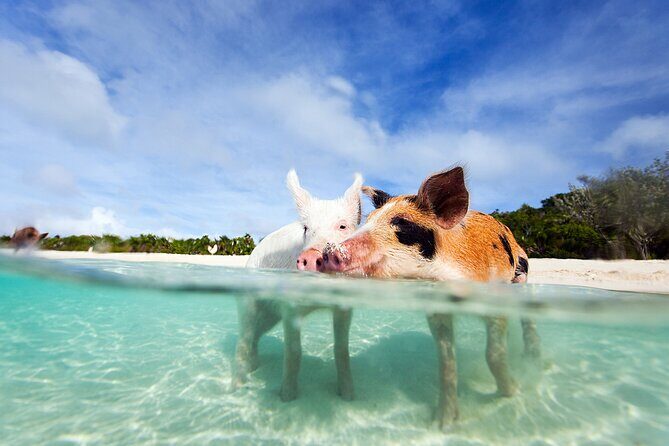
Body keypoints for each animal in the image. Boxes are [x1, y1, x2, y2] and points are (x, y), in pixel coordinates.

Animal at [234, 169, 363, 402]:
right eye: (306, 228)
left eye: (342, 226)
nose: (310, 256)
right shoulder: (289, 306)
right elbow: (294, 351)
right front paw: (287, 397)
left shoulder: (344, 306)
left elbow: (341, 350)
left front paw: (349, 396)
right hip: (248, 301)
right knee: (244, 338)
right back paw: (237, 387)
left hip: (270, 316)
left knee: (256, 336)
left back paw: (254, 367)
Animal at [320, 167, 541, 428]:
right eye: (369, 219)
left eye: (402, 224)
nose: (328, 252)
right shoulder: (438, 311)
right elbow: (446, 361)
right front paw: (443, 424)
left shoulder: (494, 299)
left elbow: (493, 354)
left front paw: (512, 393)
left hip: (521, 273)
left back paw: (532, 358)